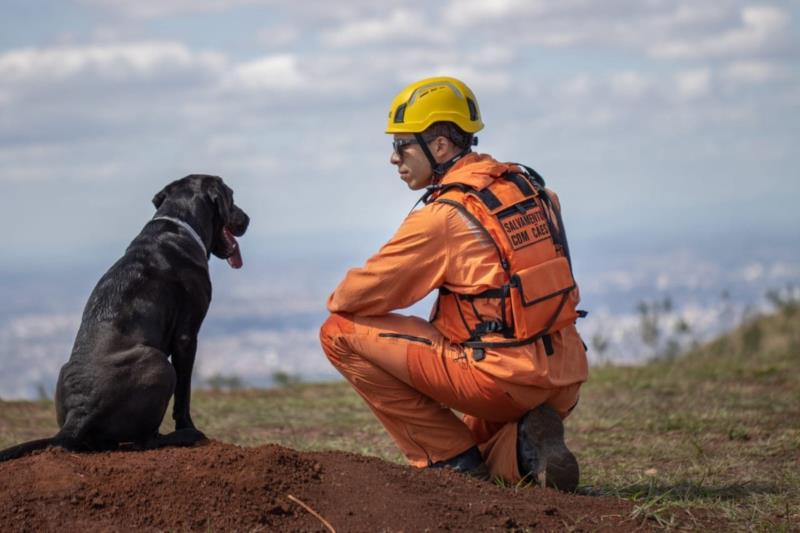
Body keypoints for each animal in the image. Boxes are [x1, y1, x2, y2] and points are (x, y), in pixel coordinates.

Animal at [0, 174, 248, 458]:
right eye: (231, 195)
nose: (247, 219)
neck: (179, 223)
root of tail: (78, 417)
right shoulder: (187, 336)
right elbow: (184, 394)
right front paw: (188, 426)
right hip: (159, 363)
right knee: (144, 441)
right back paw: (185, 436)